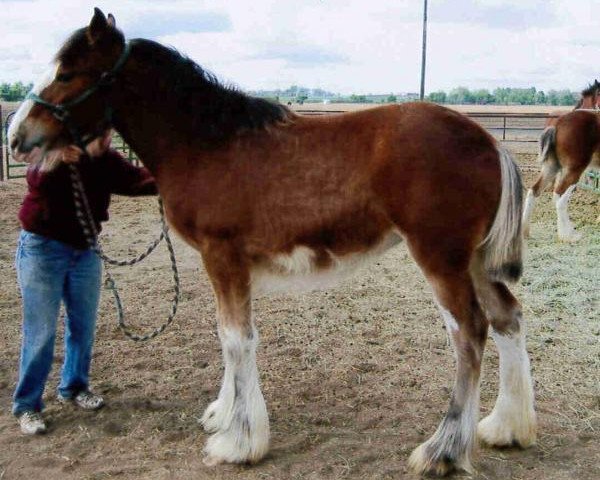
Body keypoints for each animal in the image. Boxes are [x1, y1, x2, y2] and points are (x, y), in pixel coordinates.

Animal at [7, 8, 536, 476]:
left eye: (68, 73)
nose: (17, 134)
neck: (206, 143)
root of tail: (488, 141)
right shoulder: (226, 264)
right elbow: (227, 336)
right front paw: (223, 415)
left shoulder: (223, 256)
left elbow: (237, 339)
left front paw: (239, 442)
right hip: (473, 261)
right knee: (506, 317)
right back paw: (506, 428)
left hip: (440, 259)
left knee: (469, 333)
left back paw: (442, 451)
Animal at [520, 110, 600, 242]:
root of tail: (556, 125)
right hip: (574, 170)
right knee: (560, 197)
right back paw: (568, 236)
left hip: (551, 167)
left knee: (534, 190)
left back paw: (525, 232)